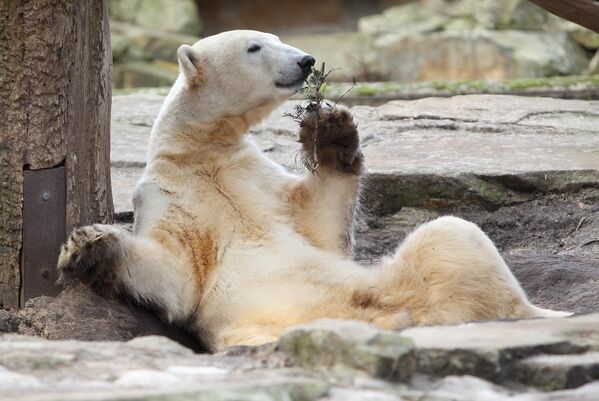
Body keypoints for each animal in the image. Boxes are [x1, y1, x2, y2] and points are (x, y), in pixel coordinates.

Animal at [58, 30, 568, 350]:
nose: (305, 60)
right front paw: (89, 244)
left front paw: (333, 130)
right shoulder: (168, 197)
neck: (200, 154)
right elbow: (178, 280)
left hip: (397, 277)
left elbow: (319, 222)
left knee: (452, 236)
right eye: (255, 46)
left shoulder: (256, 179)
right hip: (260, 330)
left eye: (277, 38)